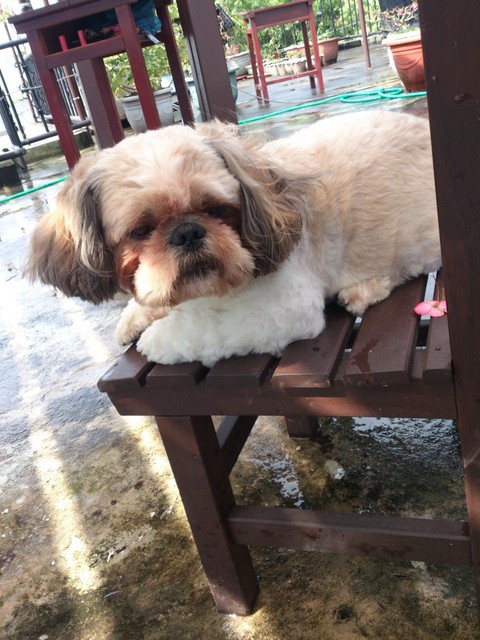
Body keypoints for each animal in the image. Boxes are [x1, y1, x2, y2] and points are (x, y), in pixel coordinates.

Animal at [25, 110, 441, 366]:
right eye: (140, 231)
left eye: (214, 209)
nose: (188, 232)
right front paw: (138, 315)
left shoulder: (283, 309)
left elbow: (203, 329)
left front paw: (157, 339)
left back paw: (363, 289)